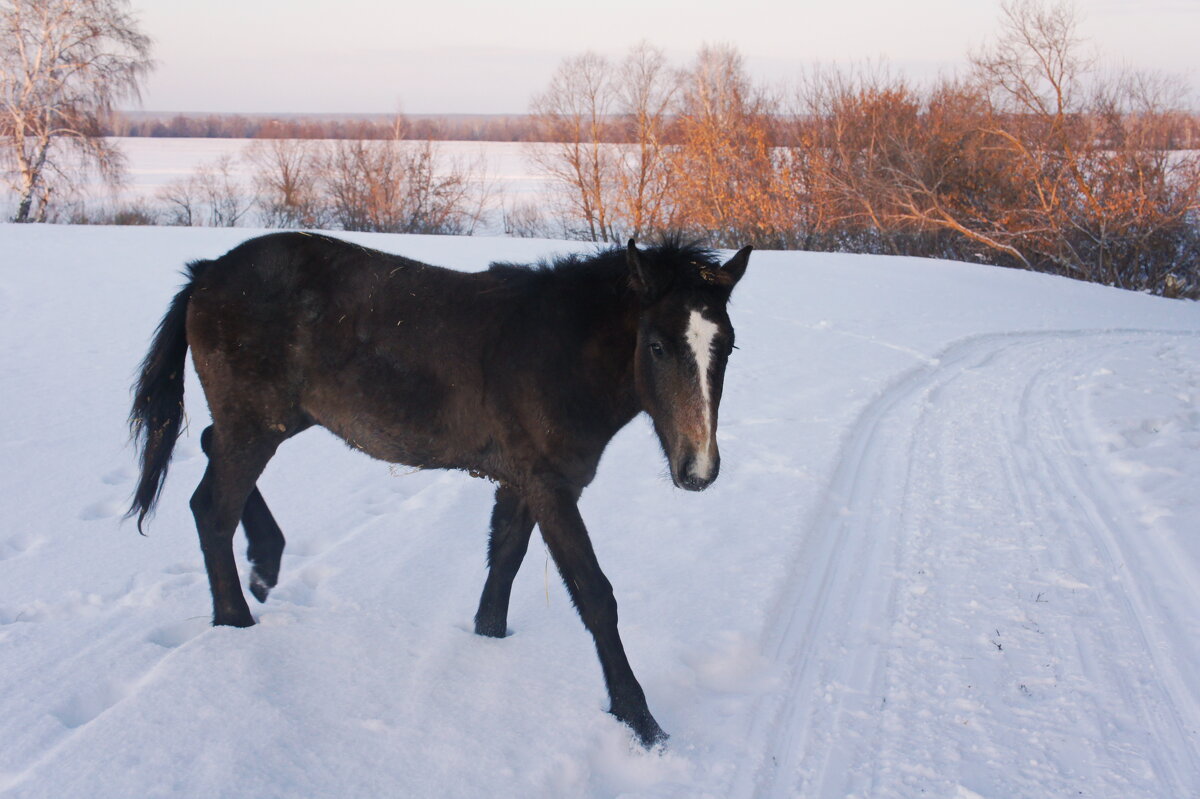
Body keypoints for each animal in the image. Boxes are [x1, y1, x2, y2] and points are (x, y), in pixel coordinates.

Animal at [129, 231, 748, 748]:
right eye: (657, 346)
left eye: (727, 348)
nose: (698, 470)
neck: (559, 353)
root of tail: (206, 273)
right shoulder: (551, 487)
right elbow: (595, 595)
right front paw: (641, 723)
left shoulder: (522, 480)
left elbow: (504, 561)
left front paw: (487, 642)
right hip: (256, 425)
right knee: (211, 509)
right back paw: (235, 623)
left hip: (274, 421)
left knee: (209, 452)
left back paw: (266, 562)